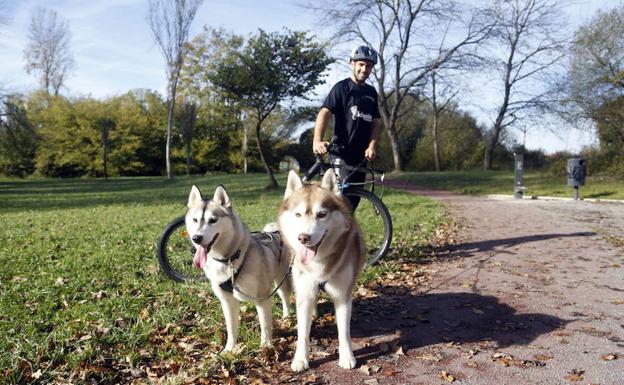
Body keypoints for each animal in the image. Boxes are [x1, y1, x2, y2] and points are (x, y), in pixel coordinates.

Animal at [185, 184, 292, 350]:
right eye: (195, 220)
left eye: (213, 220)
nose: (196, 238)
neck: (229, 259)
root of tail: (275, 231)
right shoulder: (227, 301)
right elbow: (231, 328)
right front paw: (229, 349)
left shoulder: (262, 298)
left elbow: (265, 326)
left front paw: (266, 347)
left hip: (282, 281)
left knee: (286, 298)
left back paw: (288, 317)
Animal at [280, 170, 366, 368]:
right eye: (298, 214)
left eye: (321, 214)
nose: (303, 237)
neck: (318, 262)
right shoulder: (304, 292)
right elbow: (302, 332)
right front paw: (301, 358)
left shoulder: (342, 295)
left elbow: (344, 331)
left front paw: (347, 356)